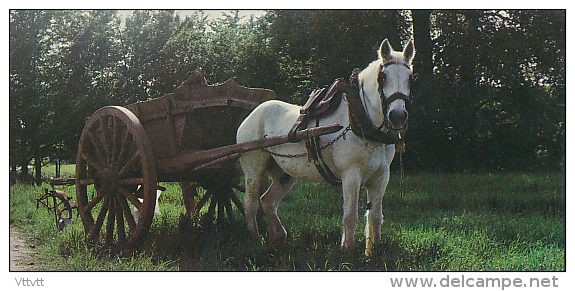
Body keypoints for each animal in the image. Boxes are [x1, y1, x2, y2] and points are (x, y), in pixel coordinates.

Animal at [237, 38, 414, 256]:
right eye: (383, 77)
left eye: (410, 78)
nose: (397, 116)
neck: (360, 123)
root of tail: (252, 114)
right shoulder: (351, 175)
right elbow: (350, 216)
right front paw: (347, 251)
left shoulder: (381, 178)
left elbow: (375, 217)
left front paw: (371, 253)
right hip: (254, 169)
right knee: (251, 203)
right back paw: (256, 241)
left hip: (284, 174)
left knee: (268, 202)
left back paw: (277, 239)